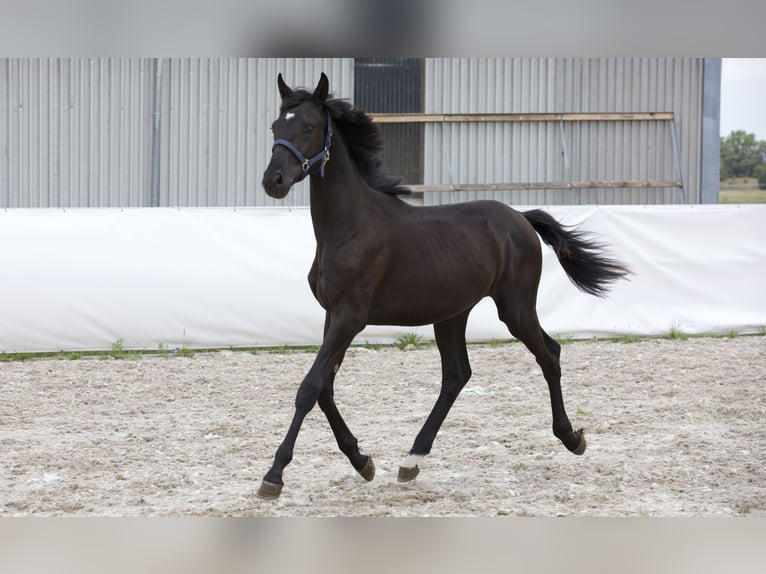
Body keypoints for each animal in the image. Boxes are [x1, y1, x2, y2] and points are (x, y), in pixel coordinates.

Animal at [258, 74, 632, 502]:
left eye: (308, 127)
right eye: (275, 126)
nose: (273, 181)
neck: (350, 227)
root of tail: (520, 218)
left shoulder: (350, 317)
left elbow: (310, 388)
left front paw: (274, 475)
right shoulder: (332, 315)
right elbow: (325, 390)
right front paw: (362, 460)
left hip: (515, 308)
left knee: (548, 354)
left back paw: (571, 438)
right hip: (452, 314)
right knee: (457, 375)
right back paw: (412, 459)